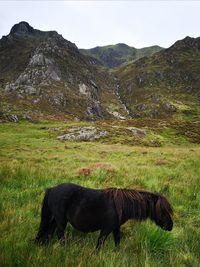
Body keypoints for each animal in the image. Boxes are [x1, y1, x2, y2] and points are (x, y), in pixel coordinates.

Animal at [35, 183, 173, 252]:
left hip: (56, 219)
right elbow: (100, 243)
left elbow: (117, 241)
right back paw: (64, 250)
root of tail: (52, 189)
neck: (121, 205)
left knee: (49, 231)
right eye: (163, 211)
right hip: (61, 220)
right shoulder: (106, 228)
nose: (170, 226)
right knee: (59, 234)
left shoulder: (116, 228)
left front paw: (117, 254)